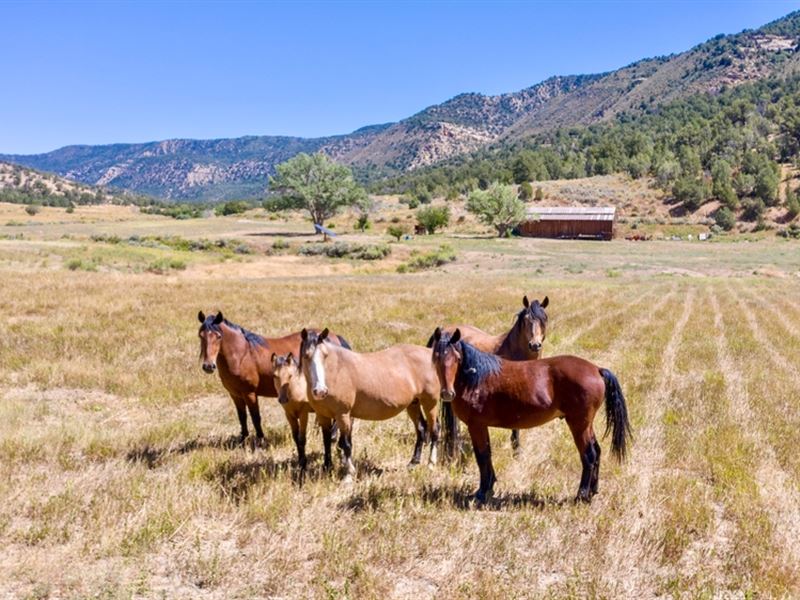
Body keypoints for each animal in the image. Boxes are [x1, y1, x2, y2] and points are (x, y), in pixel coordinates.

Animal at [195, 314, 348, 446]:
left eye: (218, 336)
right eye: (201, 335)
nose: (208, 366)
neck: (242, 354)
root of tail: (335, 338)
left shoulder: (249, 393)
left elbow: (255, 417)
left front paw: (260, 440)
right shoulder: (235, 394)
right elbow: (242, 417)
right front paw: (242, 439)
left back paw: (332, 436)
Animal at [300, 326, 440, 480]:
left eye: (325, 355)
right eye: (306, 356)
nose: (320, 391)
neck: (336, 371)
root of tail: (429, 353)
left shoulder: (343, 415)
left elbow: (346, 443)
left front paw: (348, 474)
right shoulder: (323, 415)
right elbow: (327, 441)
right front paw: (327, 467)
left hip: (430, 402)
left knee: (435, 429)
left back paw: (431, 464)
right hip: (413, 404)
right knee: (421, 428)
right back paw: (413, 463)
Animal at [432, 326, 632, 504]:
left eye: (457, 358)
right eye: (436, 358)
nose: (447, 393)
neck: (476, 378)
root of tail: (596, 369)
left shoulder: (476, 425)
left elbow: (482, 456)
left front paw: (482, 492)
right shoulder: (481, 426)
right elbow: (486, 455)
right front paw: (489, 487)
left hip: (578, 424)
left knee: (589, 455)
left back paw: (581, 496)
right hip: (586, 424)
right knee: (596, 451)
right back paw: (592, 491)